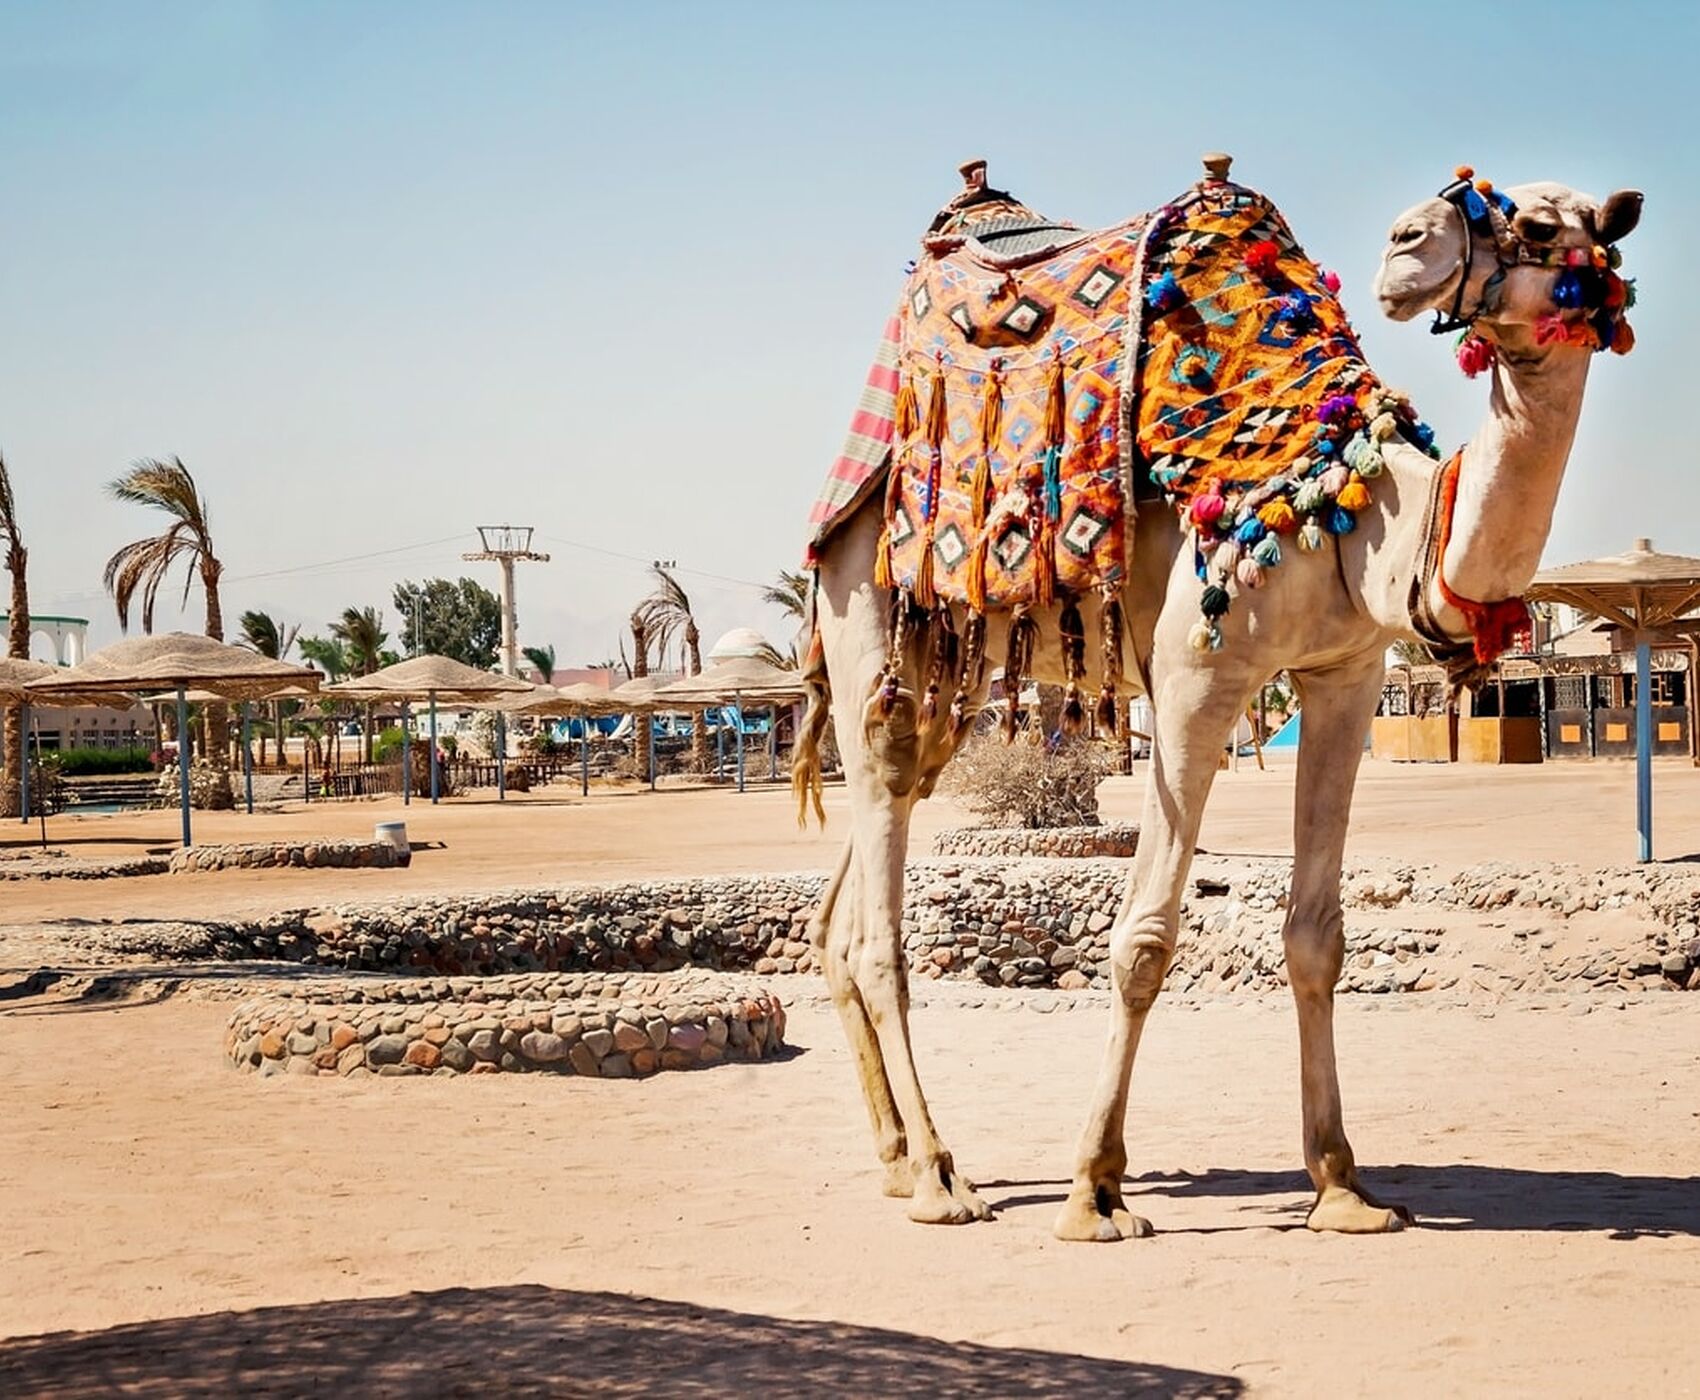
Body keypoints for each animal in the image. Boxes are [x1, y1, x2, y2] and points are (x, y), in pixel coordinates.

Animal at [788, 155, 1638, 1236]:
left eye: (1540, 224)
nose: (1405, 245)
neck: (1355, 511)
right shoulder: (1195, 674)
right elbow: (1143, 942)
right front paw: (1095, 1190)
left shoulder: (1346, 675)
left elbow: (1316, 936)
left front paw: (1341, 1185)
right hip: (865, 606)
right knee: (875, 900)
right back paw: (943, 1177)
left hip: (952, 664)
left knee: (855, 877)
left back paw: (899, 1160)